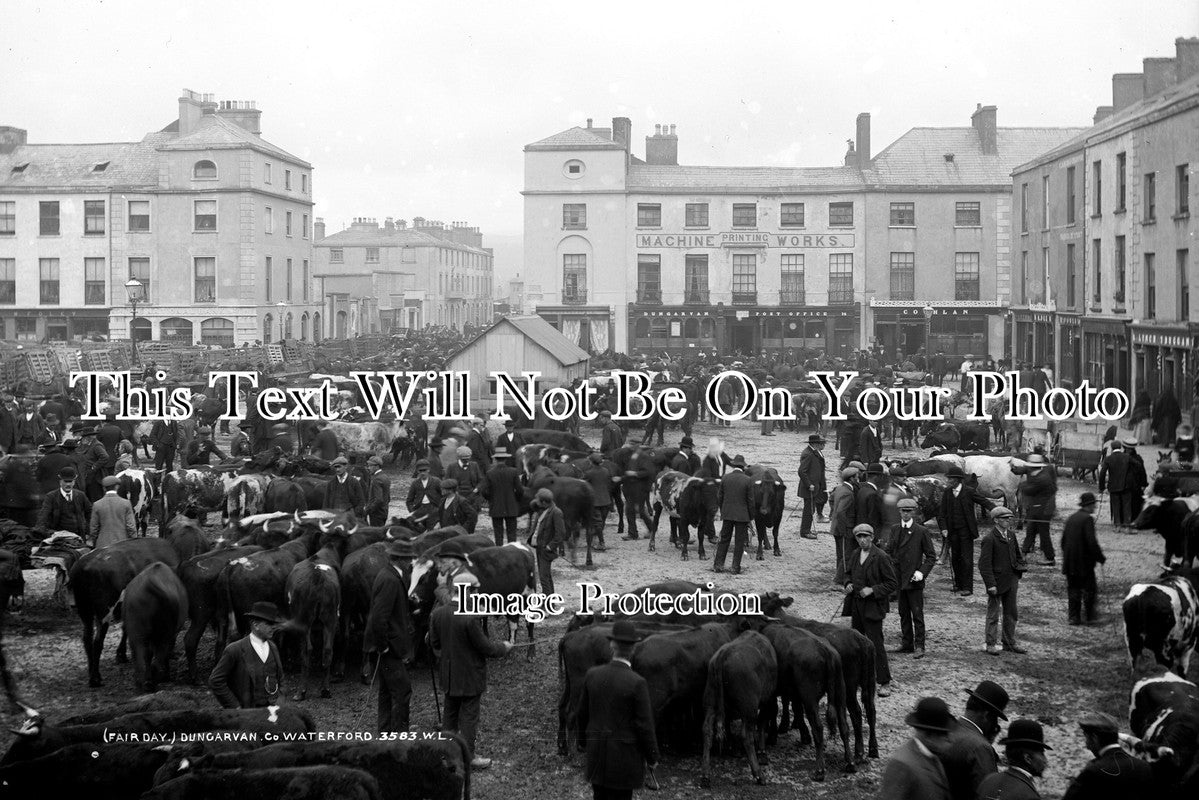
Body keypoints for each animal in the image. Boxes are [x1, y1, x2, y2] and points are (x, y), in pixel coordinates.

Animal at [122, 563, 189, 695]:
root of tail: (151, 582)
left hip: (137, 632)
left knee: (141, 656)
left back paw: (142, 684)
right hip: (163, 634)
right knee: (157, 656)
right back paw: (153, 681)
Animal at [700, 633, 776, 786]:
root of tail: (722, 655)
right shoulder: (768, 700)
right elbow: (762, 723)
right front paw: (762, 753)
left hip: (710, 702)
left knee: (707, 730)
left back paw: (705, 775)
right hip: (750, 709)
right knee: (746, 736)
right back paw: (758, 774)